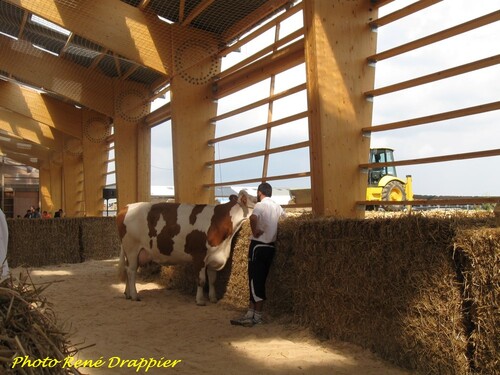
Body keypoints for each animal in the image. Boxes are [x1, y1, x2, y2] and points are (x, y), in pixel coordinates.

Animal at [116, 191, 254, 306]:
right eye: (256, 201)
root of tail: (126, 207)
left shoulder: (213, 256)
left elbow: (212, 280)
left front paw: (213, 298)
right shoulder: (199, 256)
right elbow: (202, 280)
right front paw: (200, 300)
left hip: (133, 252)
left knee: (129, 270)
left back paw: (128, 294)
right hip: (132, 249)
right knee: (131, 271)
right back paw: (134, 295)